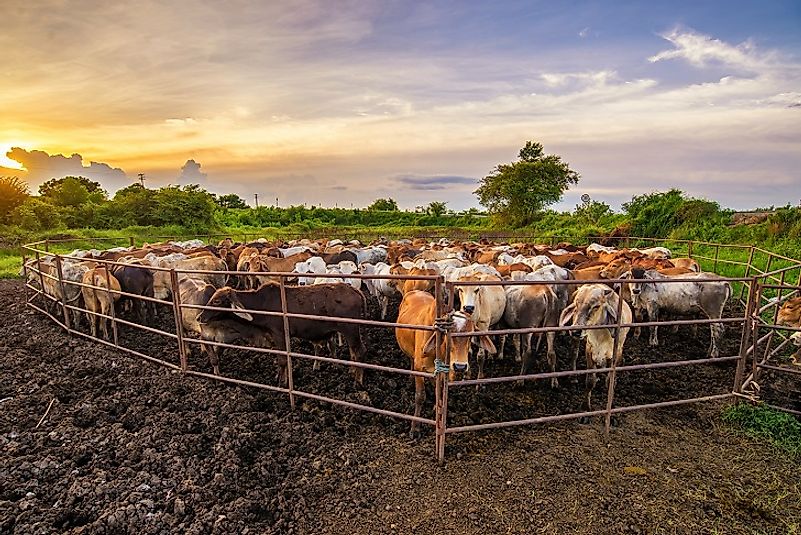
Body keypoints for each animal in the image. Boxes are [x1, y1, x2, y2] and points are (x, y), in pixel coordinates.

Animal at [198, 284, 368, 386]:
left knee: (359, 353)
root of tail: (356, 291)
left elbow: (282, 360)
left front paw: (281, 383)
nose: (200, 317)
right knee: (353, 353)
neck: (262, 303)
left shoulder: (278, 334)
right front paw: (281, 378)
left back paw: (358, 382)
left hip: (351, 330)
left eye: (217, 301)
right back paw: (352, 372)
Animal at [394, 294, 494, 440]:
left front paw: (437, 408)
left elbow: (440, 389)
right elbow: (420, 396)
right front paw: (415, 428)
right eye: (448, 333)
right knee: (411, 361)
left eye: (470, 335)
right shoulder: (419, 368)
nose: (460, 366)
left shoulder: (442, 371)